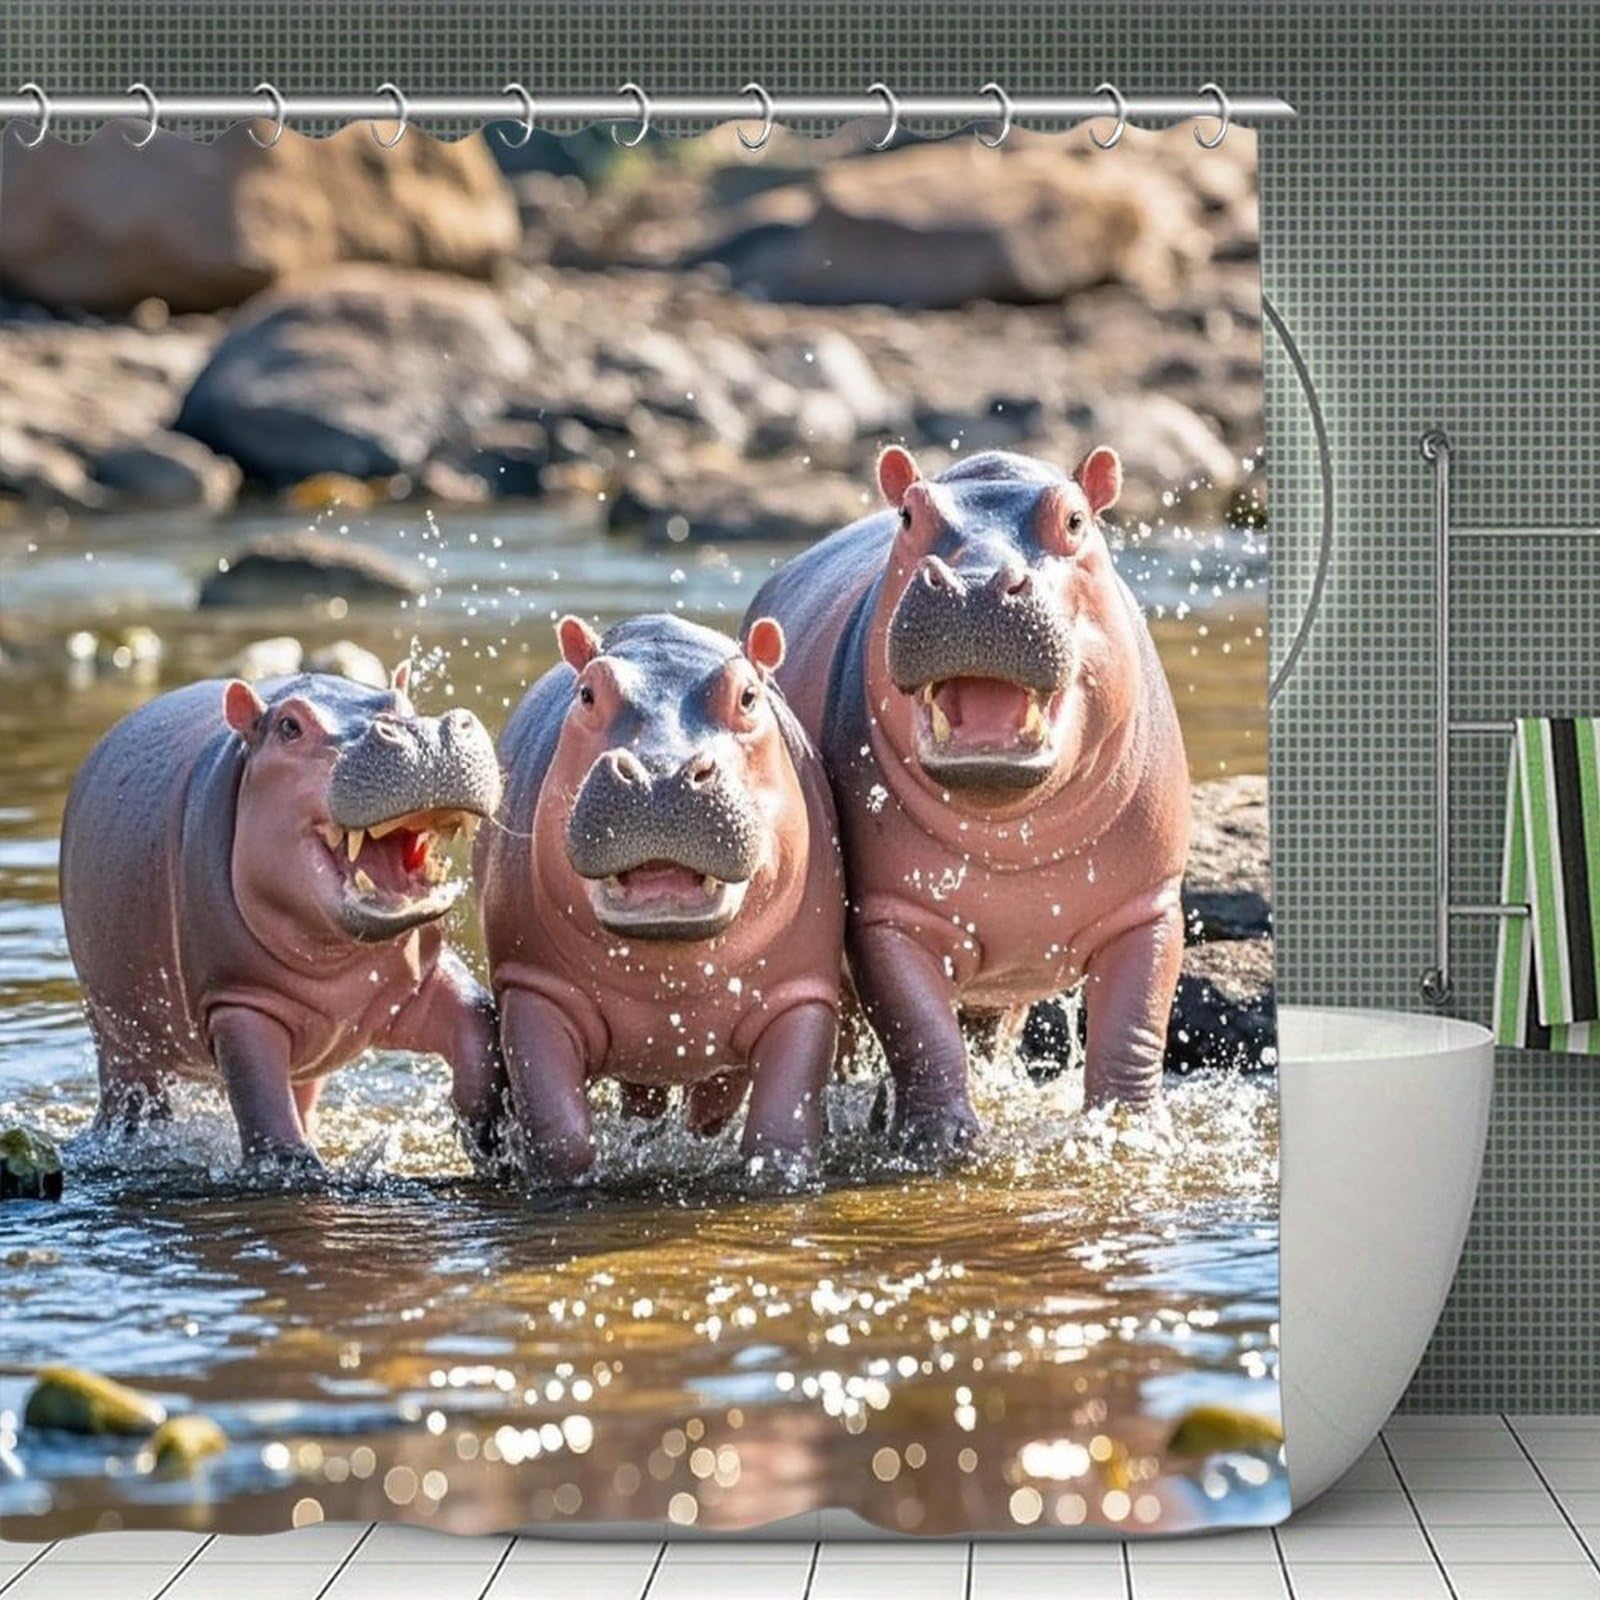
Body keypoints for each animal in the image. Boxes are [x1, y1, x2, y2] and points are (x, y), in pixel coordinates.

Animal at [60, 668, 505, 1168]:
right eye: (289, 727)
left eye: (403, 704)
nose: (422, 734)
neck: (336, 963)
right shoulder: (238, 1003)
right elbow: (262, 1100)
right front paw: (292, 1165)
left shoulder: (418, 977)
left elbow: (476, 1024)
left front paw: (487, 1137)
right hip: (116, 1032)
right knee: (131, 1095)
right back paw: (127, 1137)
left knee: (302, 1097)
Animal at [474, 613, 844, 1181]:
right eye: (587, 693)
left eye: (748, 696)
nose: (661, 773)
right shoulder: (534, 988)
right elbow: (560, 1134)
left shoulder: (801, 994)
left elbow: (780, 1128)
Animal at [746, 446, 1190, 1155]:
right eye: (907, 515)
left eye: (1075, 519)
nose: (974, 584)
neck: (1012, 837)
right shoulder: (887, 915)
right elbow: (918, 1028)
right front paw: (940, 1142)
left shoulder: (1148, 907)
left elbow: (1134, 1024)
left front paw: (1129, 1133)